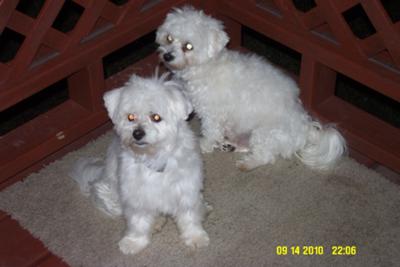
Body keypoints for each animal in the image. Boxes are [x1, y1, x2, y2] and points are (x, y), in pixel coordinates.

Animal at [70, 73, 209, 255]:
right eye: (130, 117)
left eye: (156, 117)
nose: (137, 133)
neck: (154, 158)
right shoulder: (136, 197)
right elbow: (138, 222)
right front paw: (134, 242)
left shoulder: (186, 190)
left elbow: (190, 216)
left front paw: (195, 237)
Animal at [155, 7, 346, 173]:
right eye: (169, 38)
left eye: (188, 46)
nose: (167, 56)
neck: (204, 66)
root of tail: (305, 125)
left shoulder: (212, 114)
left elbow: (210, 132)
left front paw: (204, 145)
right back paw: (229, 145)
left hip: (264, 134)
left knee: (265, 156)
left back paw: (247, 163)